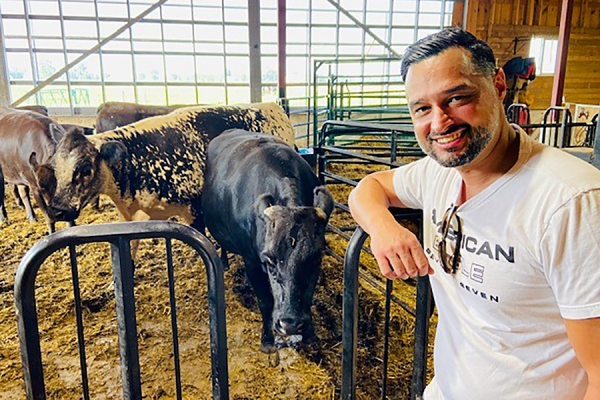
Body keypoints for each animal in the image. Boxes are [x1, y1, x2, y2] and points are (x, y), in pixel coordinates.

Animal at [202, 130, 332, 352]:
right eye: (270, 260)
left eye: (315, 259)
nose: (289, 324)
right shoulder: (252, 261)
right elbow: (265, 301)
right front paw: (268, 340)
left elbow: (307, 297)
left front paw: (309, 334)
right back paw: (224, 262)